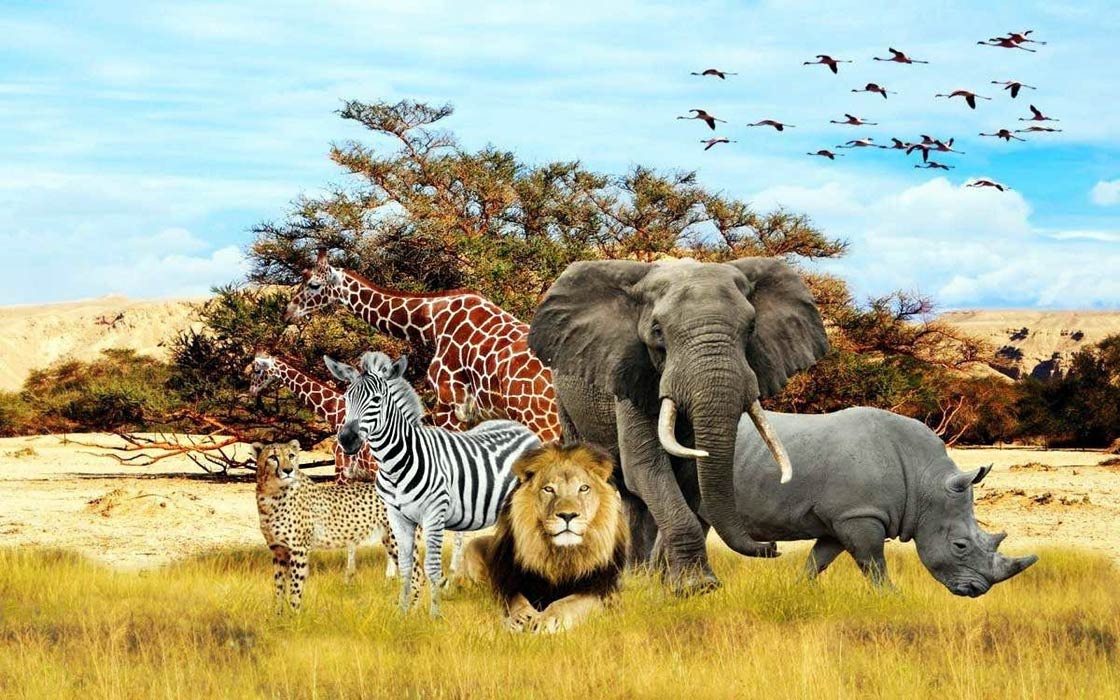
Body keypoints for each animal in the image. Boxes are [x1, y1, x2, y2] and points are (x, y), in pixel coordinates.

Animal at [324, 352, 541, 617]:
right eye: (347, 398)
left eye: (377, 399)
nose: (347, 439)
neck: (397, 462)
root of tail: (520, 426)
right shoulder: (397, 517)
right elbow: (405, 564)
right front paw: (403, 612)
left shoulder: (433, 515)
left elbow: (432, 567)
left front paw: (434, 614)